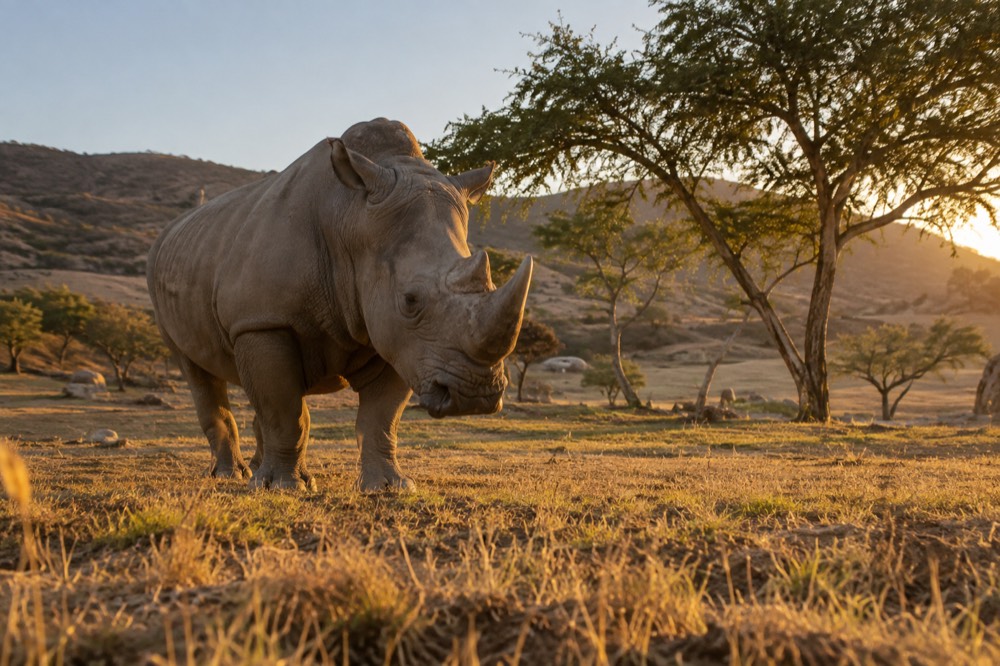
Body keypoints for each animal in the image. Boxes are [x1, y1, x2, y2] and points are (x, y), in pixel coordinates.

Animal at [146, 118, 531, 491]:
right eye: (410, 300)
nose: (476, 396)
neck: (349, 217)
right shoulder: (263, 321)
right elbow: (283, 412)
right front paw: (282, 488)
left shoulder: (398, 338)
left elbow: (380, 418)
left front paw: (389, 487)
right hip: (165, 284)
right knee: (199, 374)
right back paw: (234, 477)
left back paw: (263, 472)